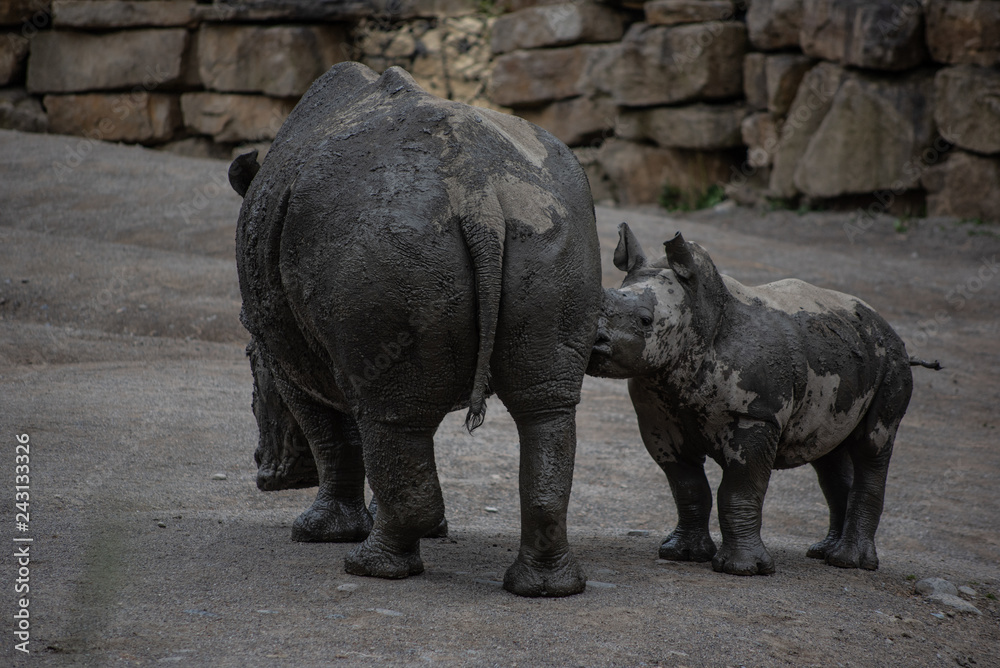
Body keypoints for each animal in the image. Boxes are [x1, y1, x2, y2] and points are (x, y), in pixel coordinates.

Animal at [231, 62, 602, 597]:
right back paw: (545, 588)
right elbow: (387, 437)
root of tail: (477, 195)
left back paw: (369, 567)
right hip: (551, 223)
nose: (265, 471)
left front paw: (317, 533)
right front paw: (429, 530)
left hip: (382, 231)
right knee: (543, 404)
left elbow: (332, 433)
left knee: (389, 414)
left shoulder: (283, 354)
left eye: (247, 358)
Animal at [588, 223, 932, 575]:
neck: (700, 316)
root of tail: (886, 326)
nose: (594, 341)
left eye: (645, 320)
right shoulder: (659, 421)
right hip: (846, 356)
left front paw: (741, 569)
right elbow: (687, 486)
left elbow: (739, 490)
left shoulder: (756, 415)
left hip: (891, 361)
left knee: (873, 445)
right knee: (829, 452)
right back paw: (823, 552)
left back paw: (850, 563)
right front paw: (682, 554)